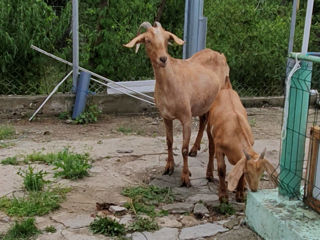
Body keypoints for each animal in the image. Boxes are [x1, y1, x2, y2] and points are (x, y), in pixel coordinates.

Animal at [124, 21, 230, 187]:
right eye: (148, 40)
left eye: (166, 39)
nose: (163, 59)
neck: (170, 84)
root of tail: (220, 55)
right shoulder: (166, 117)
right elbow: (169, 142)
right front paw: (169, 167)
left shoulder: (186, 117)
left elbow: (183, 149)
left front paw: (185, 178)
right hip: (203, 104)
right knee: (203, 121)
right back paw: (195, 149)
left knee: (211, 138)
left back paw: (209, 170)